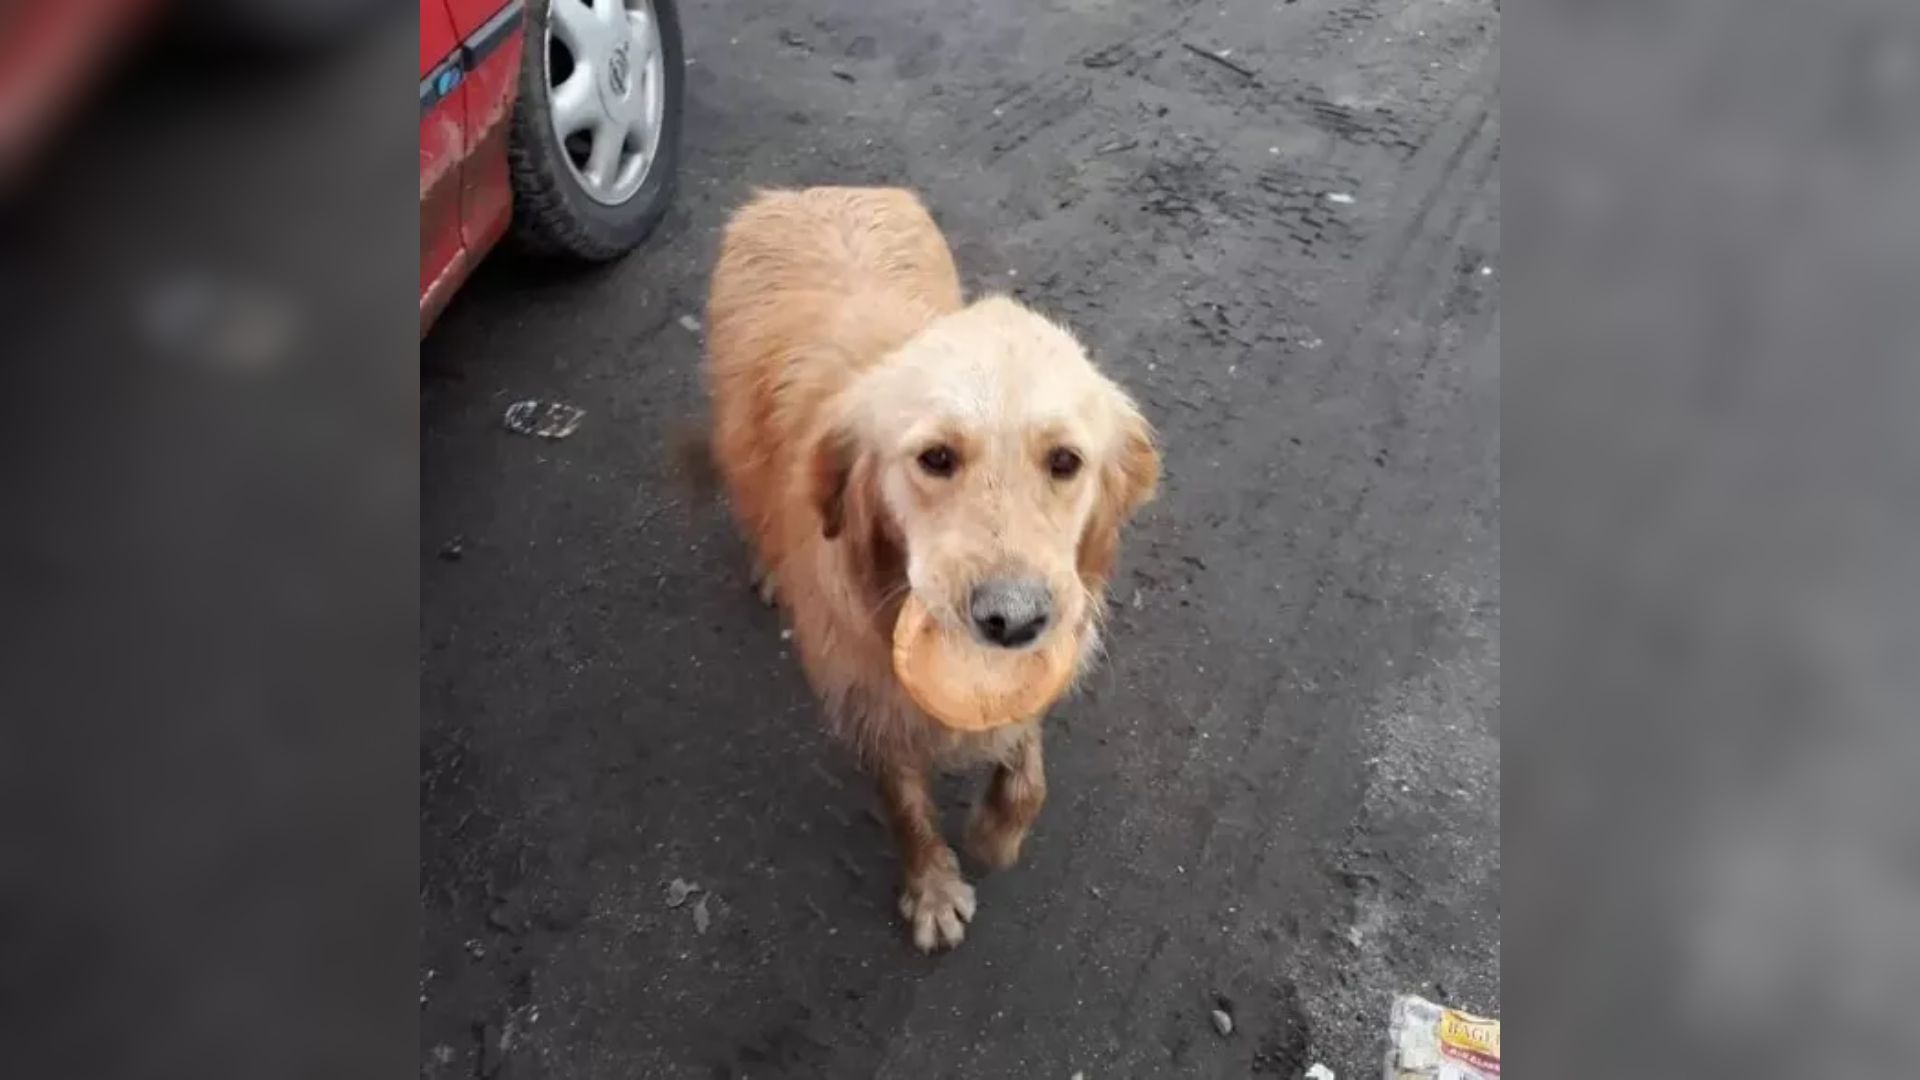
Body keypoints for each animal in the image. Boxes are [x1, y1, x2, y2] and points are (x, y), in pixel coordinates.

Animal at [706, 187, 1152, 949]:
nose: (1013, 620)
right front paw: (933, 888)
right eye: (936, 458)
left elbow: (1027, 770)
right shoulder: (867, 697)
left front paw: (998, 833)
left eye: (1065, 461)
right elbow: (904, 803)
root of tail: (806, 190)